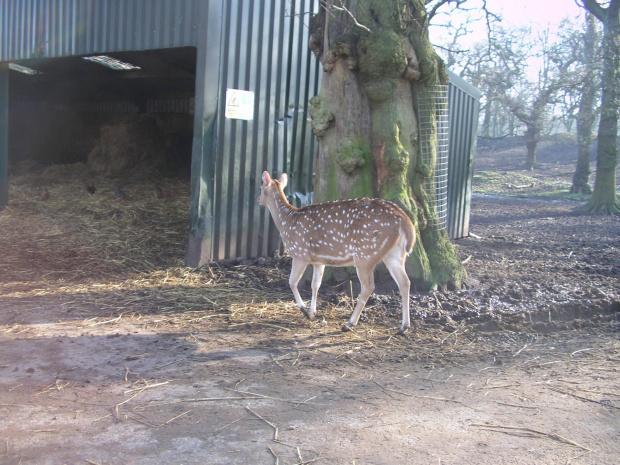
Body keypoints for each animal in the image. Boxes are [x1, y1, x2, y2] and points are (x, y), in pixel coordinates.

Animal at [258, 170, 416, 334]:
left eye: (260, 187)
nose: (258, 200)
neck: (286, 222)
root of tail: (404, 221)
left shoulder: (299, 253)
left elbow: (292, 282)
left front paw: (305, 311)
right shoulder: (318, 261)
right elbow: (315, 284)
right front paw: (313, 312)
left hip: (365, 254)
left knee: (368, 286)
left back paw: (349, 323)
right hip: (395, 254)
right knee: (405, 282)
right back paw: (404, 327)